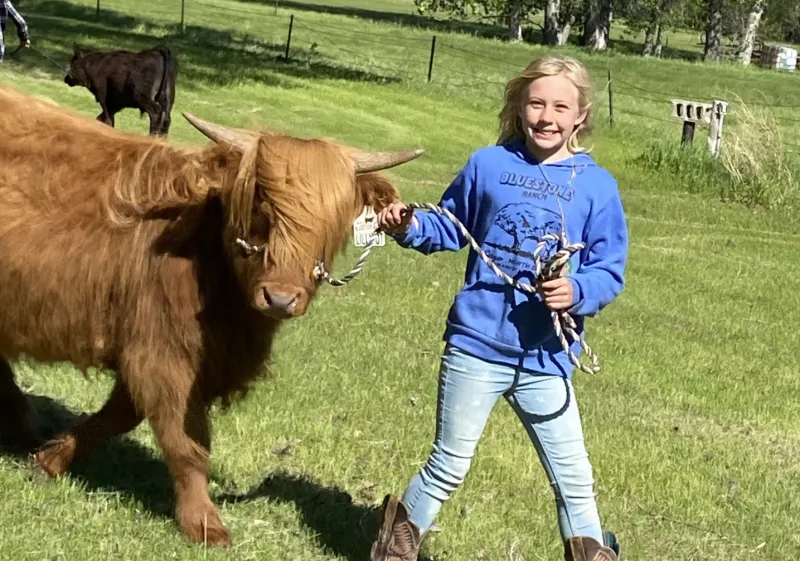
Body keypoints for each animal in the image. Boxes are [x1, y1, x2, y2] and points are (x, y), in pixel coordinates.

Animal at [0, 83, 423, 546]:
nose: (280, 298)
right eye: (262, 209)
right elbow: (186, 442)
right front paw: (203, 522)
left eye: (331, 223)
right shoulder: (161, 350)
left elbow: (120, 414)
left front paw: (50, 458)